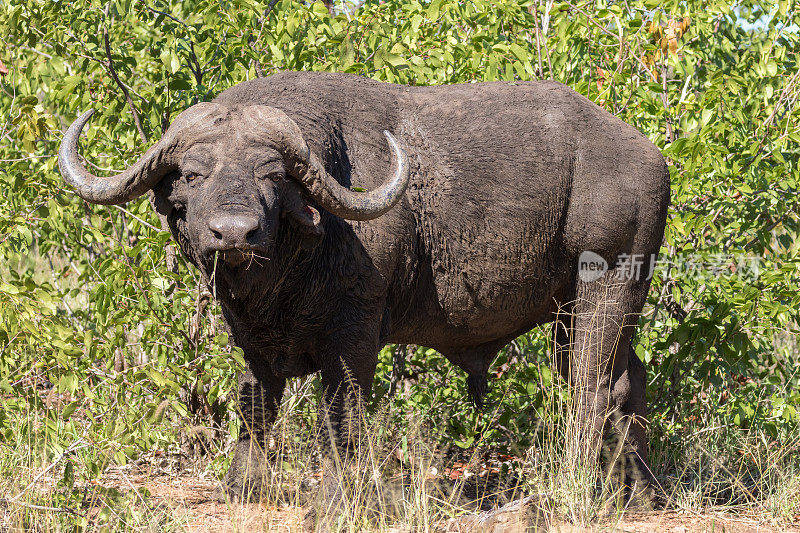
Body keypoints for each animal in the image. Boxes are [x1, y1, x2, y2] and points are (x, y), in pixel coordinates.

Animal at [57, 69, 668, 508]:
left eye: (272, 175)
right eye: (191, 173)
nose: (234, 233)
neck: (290, 267)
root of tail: (651, 159)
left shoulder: (354, 332)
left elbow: (340, 415)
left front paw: (331, 500)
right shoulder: (250, 337)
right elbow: (256, 403)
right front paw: (243, 486)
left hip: (606, 287)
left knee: (589, 389)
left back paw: (578, 488)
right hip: (581, 312)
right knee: (626, 381)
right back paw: (638, 493)